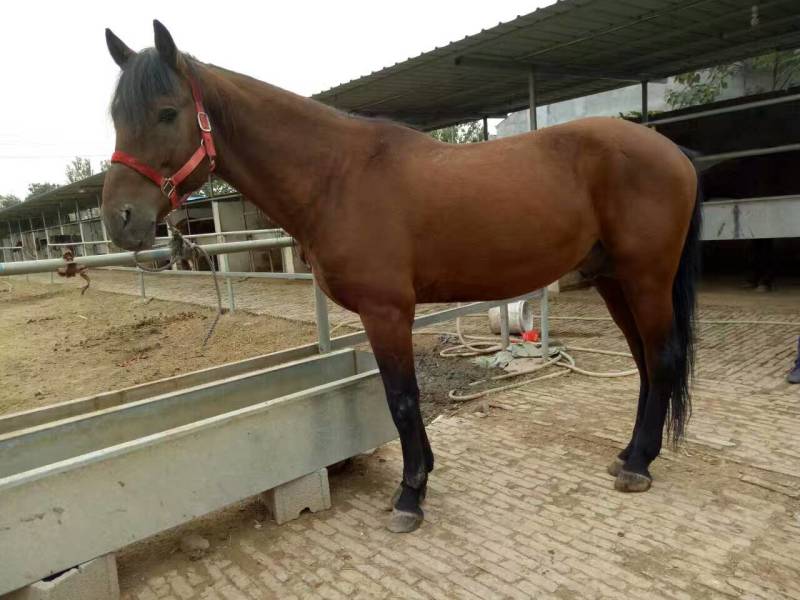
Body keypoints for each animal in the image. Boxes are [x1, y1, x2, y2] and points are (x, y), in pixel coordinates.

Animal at [101, 21, 701, 533]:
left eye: (166, 112)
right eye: (115, 117)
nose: (119, 219)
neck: (337, 176)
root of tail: (674, 152)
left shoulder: (386, 312)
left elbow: (402, 398)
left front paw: (411, 495)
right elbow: (402, 398)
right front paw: (420, 478)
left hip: (646, 278)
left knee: (662, 358)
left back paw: (639, 465)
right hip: (613, 279)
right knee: (645, 363)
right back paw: (628, 454)